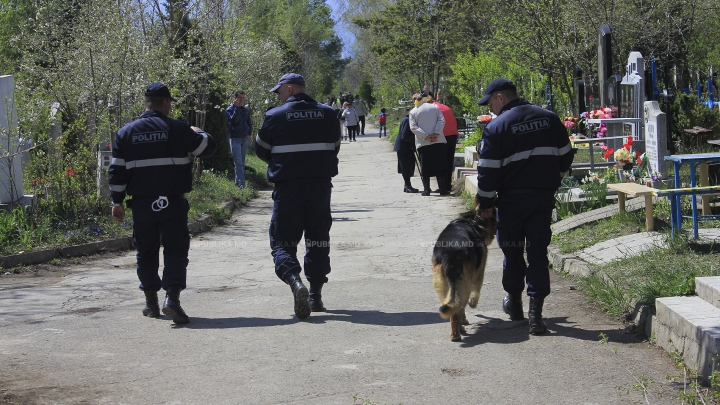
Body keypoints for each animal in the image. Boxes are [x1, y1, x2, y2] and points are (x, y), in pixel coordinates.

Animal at [434, 207, 496, 340]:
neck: (472, 221)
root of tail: (450, 254)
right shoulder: (479, 273)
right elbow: (476, 291)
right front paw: (472, 305)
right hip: (464, 282)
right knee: (459, 306)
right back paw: (458, 331)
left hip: (444, 285)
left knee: (453, 306)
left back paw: (455, 333)